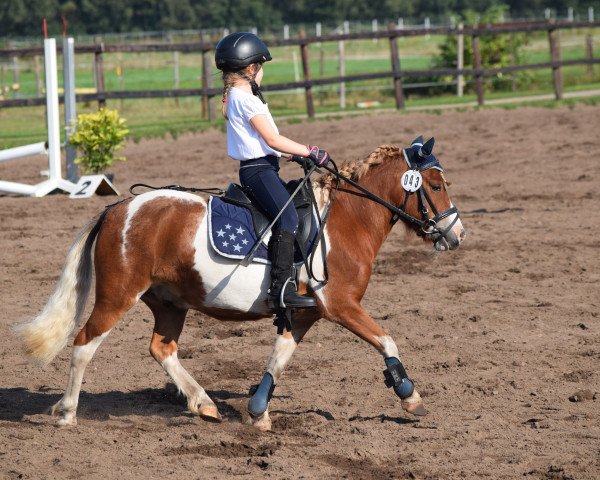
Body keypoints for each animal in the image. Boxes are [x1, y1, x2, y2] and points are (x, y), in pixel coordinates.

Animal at [15, 138, 464, 432]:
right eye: (436, 185)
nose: (457, 235)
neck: (346, 220)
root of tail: (117, 208)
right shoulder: (340, 304)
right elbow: (386, 340)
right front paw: (409, 395)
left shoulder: (304, 313)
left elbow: (278, 359)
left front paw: (259, 411)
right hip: (117, 296)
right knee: (83, 344)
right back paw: (67, 412)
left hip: (170, 302)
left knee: (162, 349)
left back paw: (204, 404)